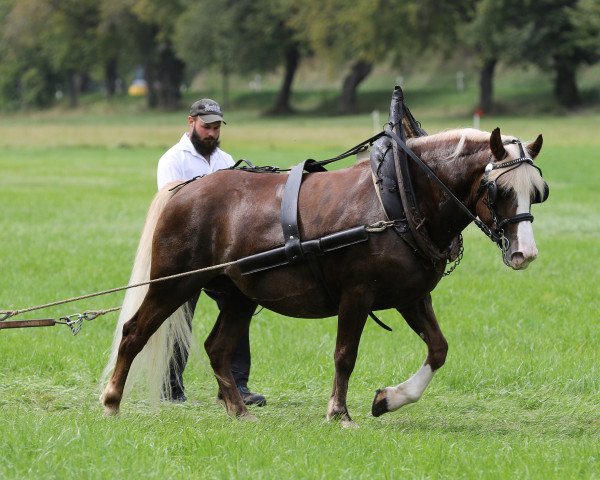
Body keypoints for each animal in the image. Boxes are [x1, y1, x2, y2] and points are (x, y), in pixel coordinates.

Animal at [99, 124, 548, 424]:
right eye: (500, 190)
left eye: (537, 191)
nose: (525, 253)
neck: (399, 198)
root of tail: (183, 188)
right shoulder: (357, 293)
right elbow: (345, 355)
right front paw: (339, 413)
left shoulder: (411, 297)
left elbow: (438, 349)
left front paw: (388, 399)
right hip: (173, 284)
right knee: (135, 332)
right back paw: (111, 401)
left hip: (238, 297)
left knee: (217, 348)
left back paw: (240, 410)